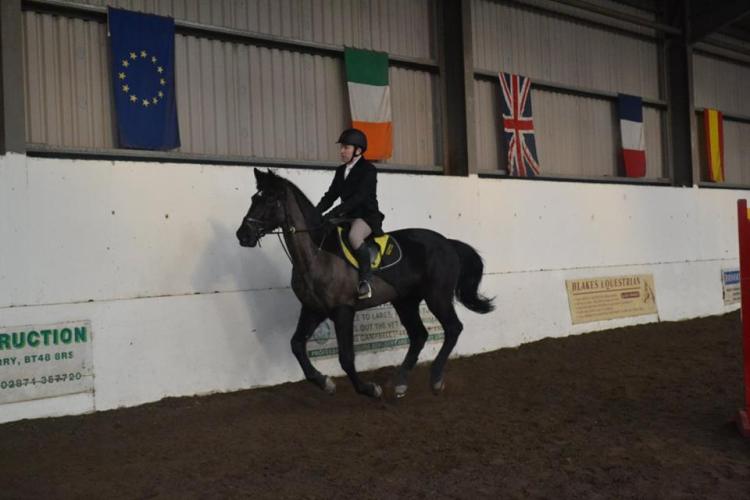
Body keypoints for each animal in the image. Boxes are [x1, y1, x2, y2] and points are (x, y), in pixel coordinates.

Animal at [236, 168, 494, 399]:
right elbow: (297, 345)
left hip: (437, 296)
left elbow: (346, 358)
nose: (243, 235)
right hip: (406, 301)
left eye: (270, 200)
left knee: (453, 328)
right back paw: (400, 384)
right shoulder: (313, 309)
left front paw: (369, 389)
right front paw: (325, 383)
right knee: (419, 335)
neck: (317, 254)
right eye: (254, 199)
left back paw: (436, 380)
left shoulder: (343, 310)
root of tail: (448, 243)